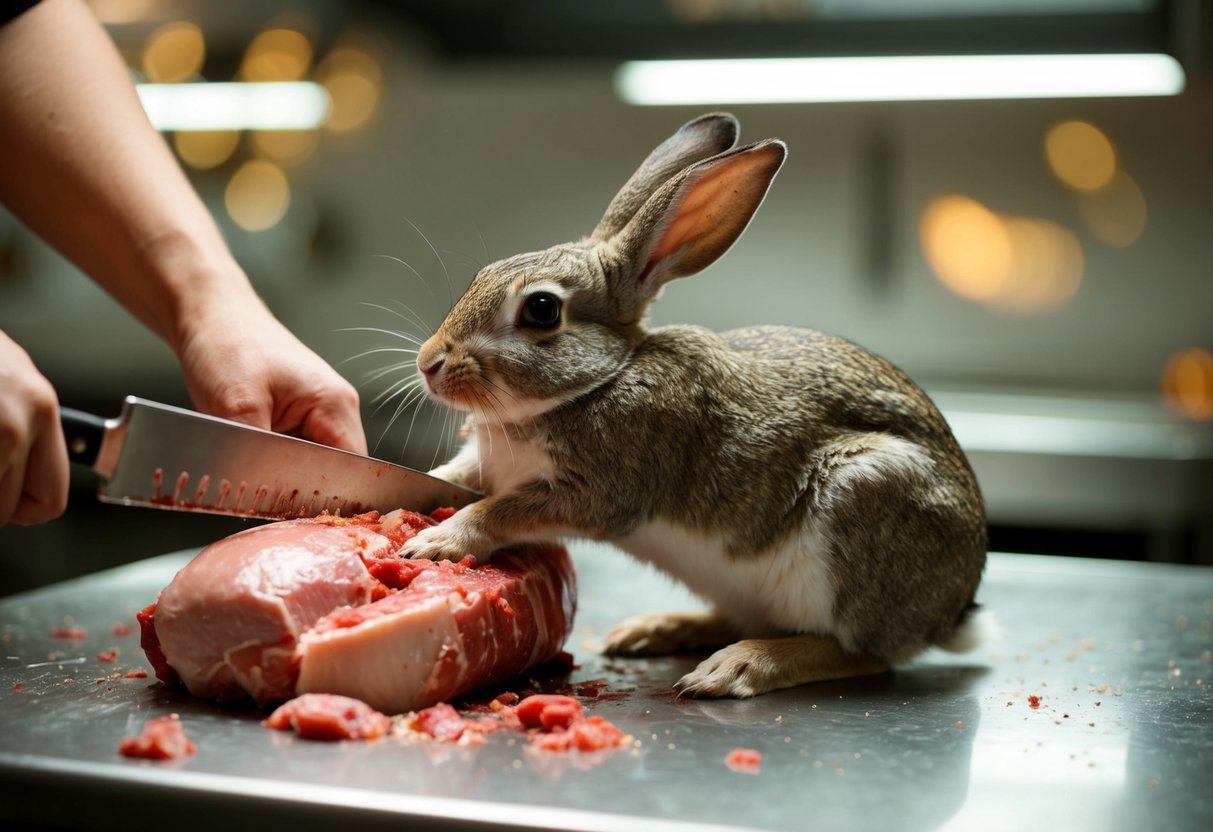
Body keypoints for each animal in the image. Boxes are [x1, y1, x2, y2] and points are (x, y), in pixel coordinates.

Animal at [399, 112, 988, 699]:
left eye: (541, 309)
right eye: (481, 276)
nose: (428, 363)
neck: (596, 382)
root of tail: (951, 612)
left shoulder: (600, 492)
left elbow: (502, 509)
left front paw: (437, 541)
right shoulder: (490, 464)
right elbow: (457, 475)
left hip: (860, 502)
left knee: (859, 652)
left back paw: (738, 667)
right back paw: (657, 630)